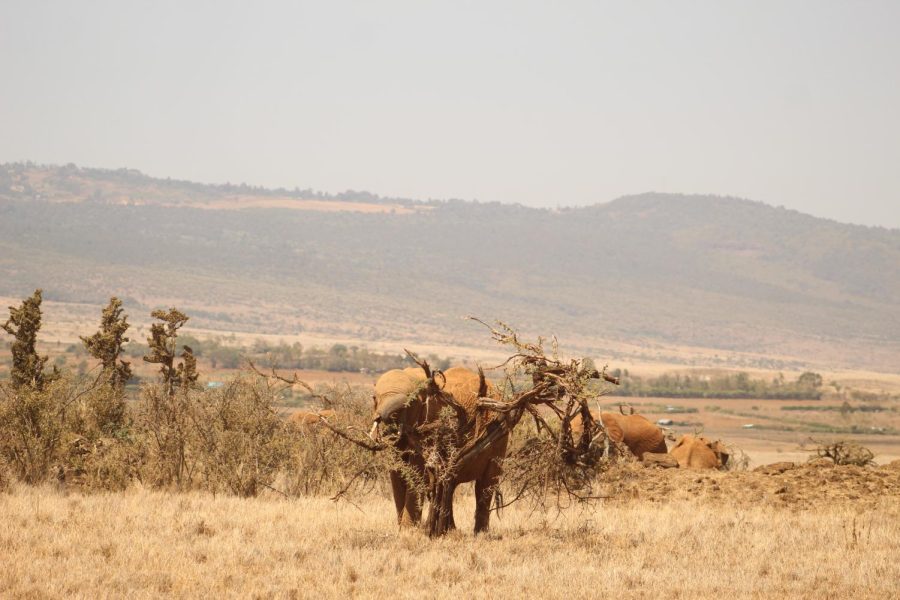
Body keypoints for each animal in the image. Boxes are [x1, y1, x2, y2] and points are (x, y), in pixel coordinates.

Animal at [368, 364, 506, 532]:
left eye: (412, 402)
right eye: (375, 398)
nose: (379, 417)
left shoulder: (431, 426)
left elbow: (416, 471)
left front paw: (408, 530)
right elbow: (397, 471)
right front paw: (402, 529)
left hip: (499, 436)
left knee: (486, 484)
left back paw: (479, 533)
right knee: (450, 485)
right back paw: (449, 531)